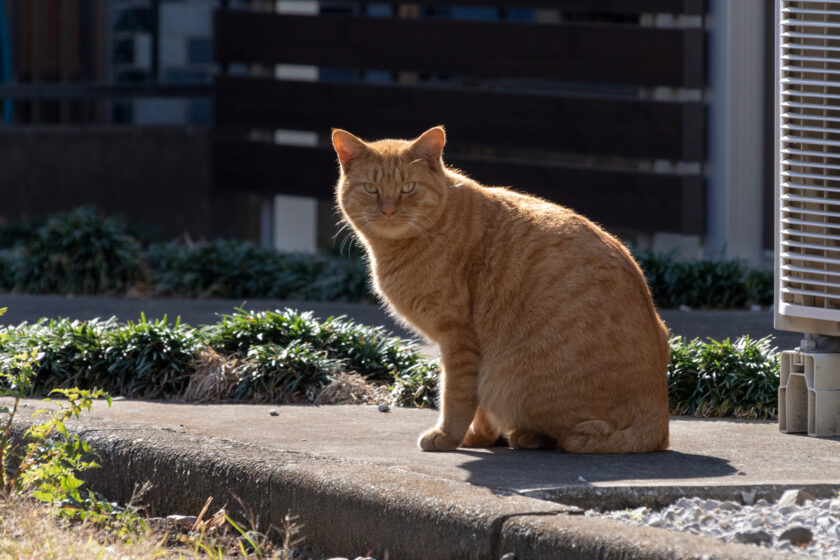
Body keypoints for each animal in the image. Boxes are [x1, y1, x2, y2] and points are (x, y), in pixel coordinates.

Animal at [332, 126, 668, 450]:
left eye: (408, 187)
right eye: (371, 188)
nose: (388, 210)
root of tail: (660, 422)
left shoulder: (458, 338)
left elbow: (456, 395)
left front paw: (448, 436)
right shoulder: (470, 349)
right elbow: (478, 405)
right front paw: (478, 437)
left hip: (517, 380)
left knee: (579, 434)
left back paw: (529, 437)